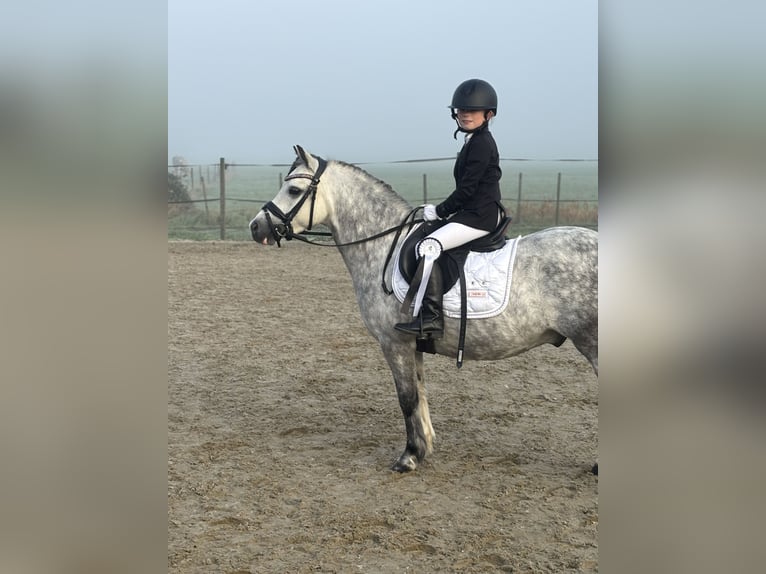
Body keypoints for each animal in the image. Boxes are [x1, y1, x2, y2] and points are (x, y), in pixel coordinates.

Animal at [249, 145, 598, 473]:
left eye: (294, 190)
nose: (256, 227)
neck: (382, 245)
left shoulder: (395, 343)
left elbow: (406, 398)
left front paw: (409, 457)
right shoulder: (413, 344)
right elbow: (420, 393)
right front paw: (425, 446)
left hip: (591, 342)